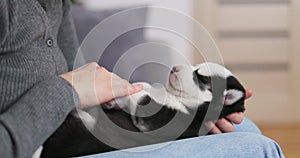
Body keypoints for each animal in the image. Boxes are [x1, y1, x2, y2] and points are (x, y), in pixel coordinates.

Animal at [39, 62, 246, 157]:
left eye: (201, 77)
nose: (174, 67)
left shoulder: (160, 121)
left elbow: (143, 96)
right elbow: (146, 87)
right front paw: (116, 97)